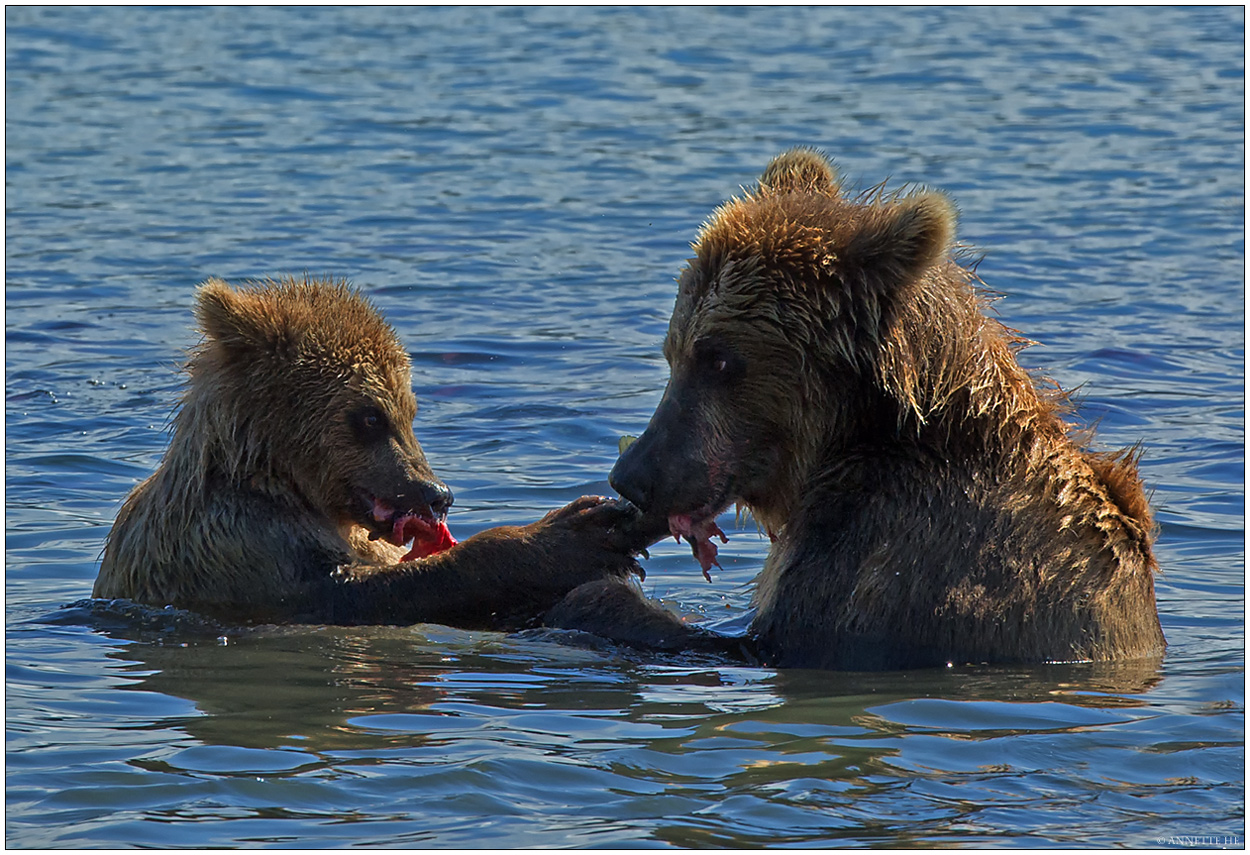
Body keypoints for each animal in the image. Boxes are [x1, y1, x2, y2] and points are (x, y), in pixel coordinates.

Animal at [93, 278, 645, 627]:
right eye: (371, 417)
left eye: (411, 410)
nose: (436, 492)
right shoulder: (236, 545)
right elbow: (367, 590)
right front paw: (571, 536)